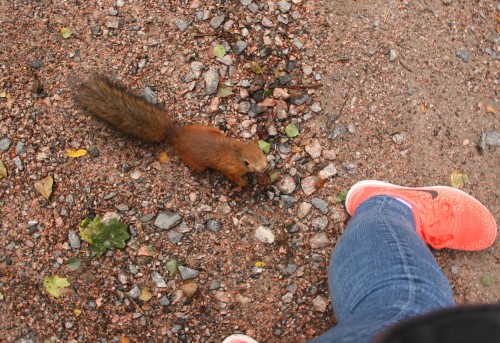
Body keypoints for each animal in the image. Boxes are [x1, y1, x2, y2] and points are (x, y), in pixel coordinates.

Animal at [75, 75, 268, 187]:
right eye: (247, 162)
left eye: (262, 152)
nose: (265, 167)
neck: (236, 153)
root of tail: (175, 134)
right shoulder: (230, 170)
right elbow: (236, 179)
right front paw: (245, 185)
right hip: (197, 163)